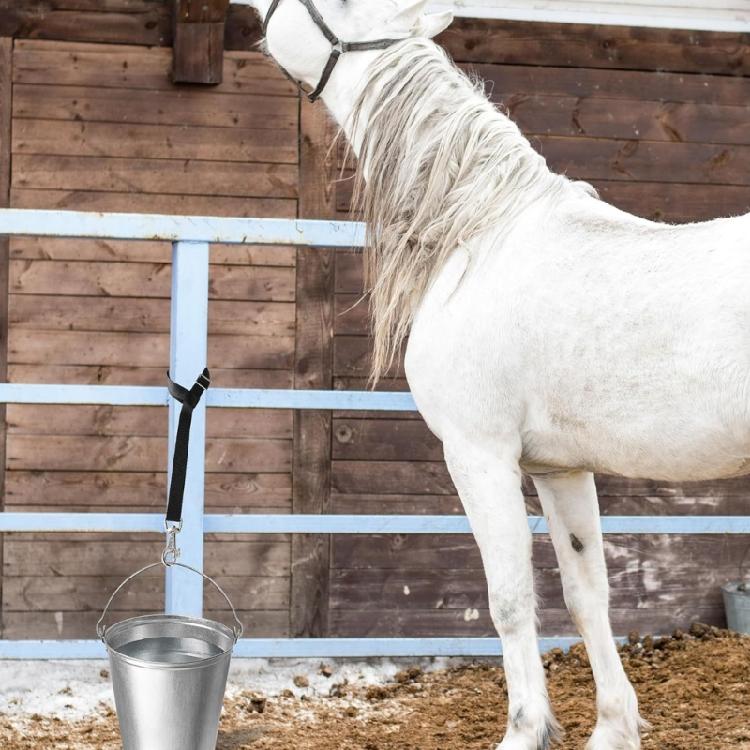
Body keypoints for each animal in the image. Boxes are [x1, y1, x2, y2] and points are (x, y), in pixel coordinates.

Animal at [247, 1, 750, 747]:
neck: (480, 230)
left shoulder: (478, 455)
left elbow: (509, 599)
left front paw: (524, 730)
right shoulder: (560, 468)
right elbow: (586, 594)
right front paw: (613, 727)